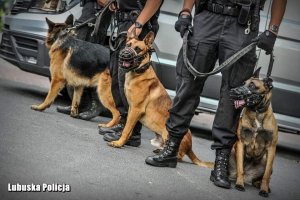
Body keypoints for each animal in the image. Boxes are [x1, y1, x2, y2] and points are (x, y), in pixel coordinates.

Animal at [107, 31, 213, 169]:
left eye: (138, 49)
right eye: (127, 45)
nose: (124, 54)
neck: (139, 72)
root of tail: (190, 147)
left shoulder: (136, 109)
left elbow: (126, 129)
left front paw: (119, 143)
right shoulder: (131, 109)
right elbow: (128, 128)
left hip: (168, 135)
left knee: (179, 156)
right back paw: (160, 150)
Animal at [227, 67, 278, 197]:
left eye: (252, 86)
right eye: (242, 83)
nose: (232, 91)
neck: (256, 113)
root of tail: (248, 177)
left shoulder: (271, 148)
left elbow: (266, 176)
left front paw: (264, 190)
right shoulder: (241, 143)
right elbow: (240, 168)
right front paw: (239, 185)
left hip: (266, 160)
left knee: (260, 178)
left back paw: (262, 186)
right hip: (231, 152)